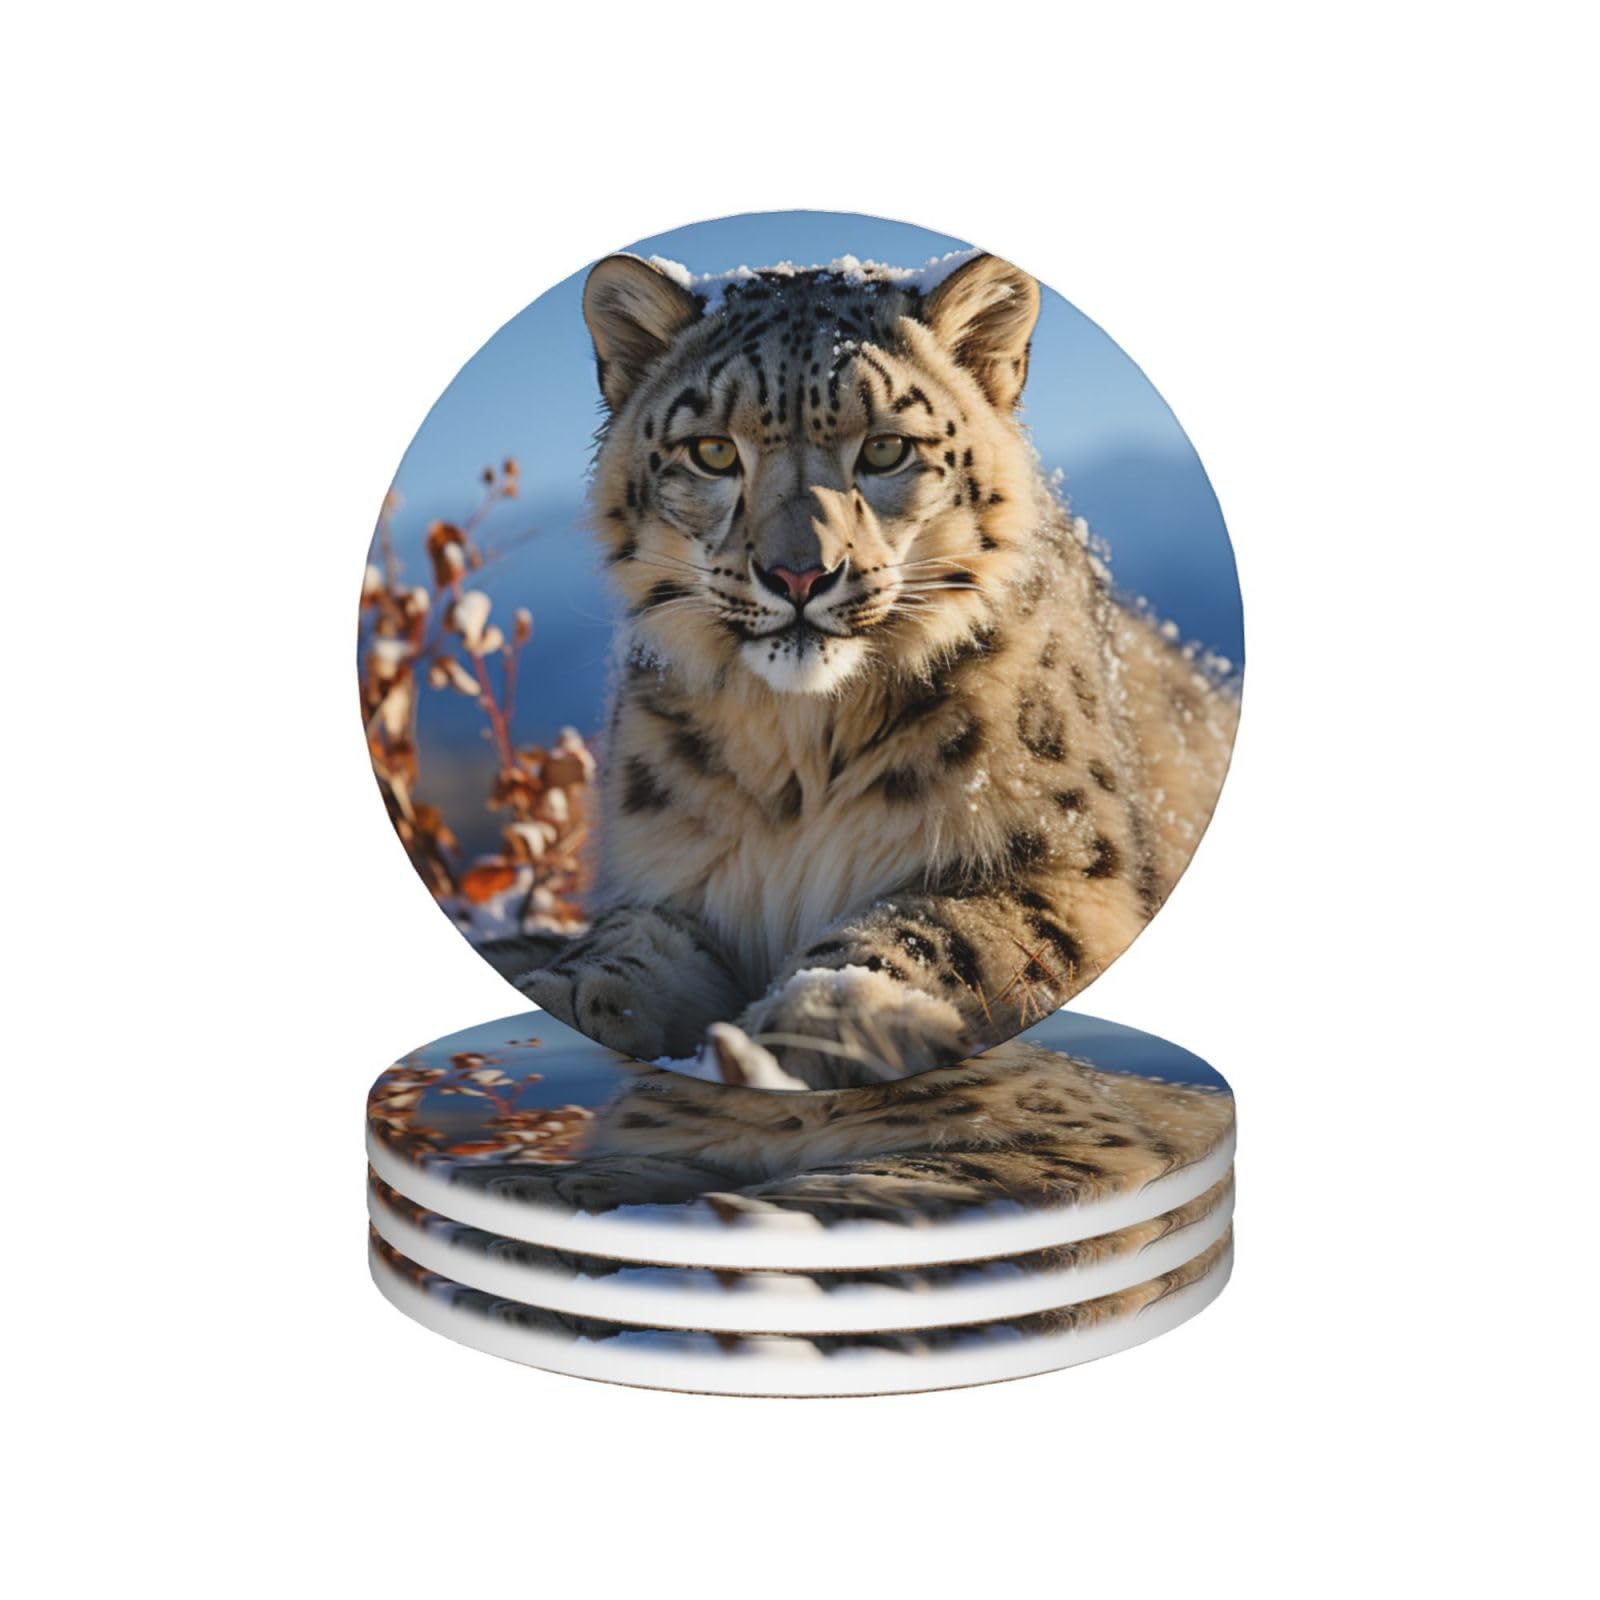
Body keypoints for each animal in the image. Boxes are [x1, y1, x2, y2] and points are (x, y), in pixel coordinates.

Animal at [489, 249, 1238, 1089]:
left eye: (886, 448)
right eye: (713, 450)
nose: (799, 575)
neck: (799, 761)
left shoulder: (1065, 875)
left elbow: (935, 927)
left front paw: (828, 1012)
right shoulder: (676, 880)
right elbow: (626, 943)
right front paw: (562, 998)